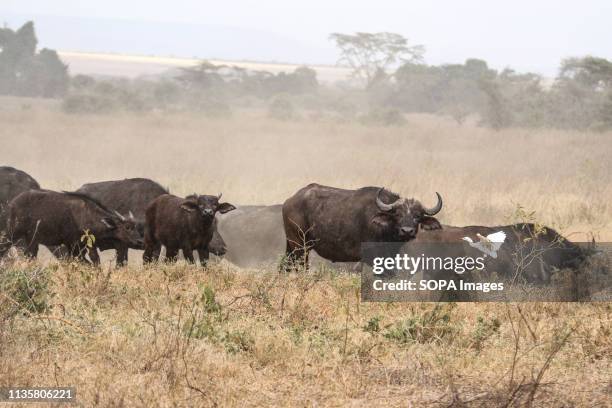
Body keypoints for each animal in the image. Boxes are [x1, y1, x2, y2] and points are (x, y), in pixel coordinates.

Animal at [3, 189, 142, 262]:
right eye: (127, 228)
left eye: (135, 227)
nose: (140, 241)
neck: (86, 215)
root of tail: (13, 203)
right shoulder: (75, 247)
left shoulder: (83, 247)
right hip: (13, 234)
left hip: (30, 240)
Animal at [280, 184, 442, 268]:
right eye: (397, 215)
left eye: (417, 216)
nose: (407, 231)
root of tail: (289, 200)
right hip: (300, 246)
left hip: (292, 247)